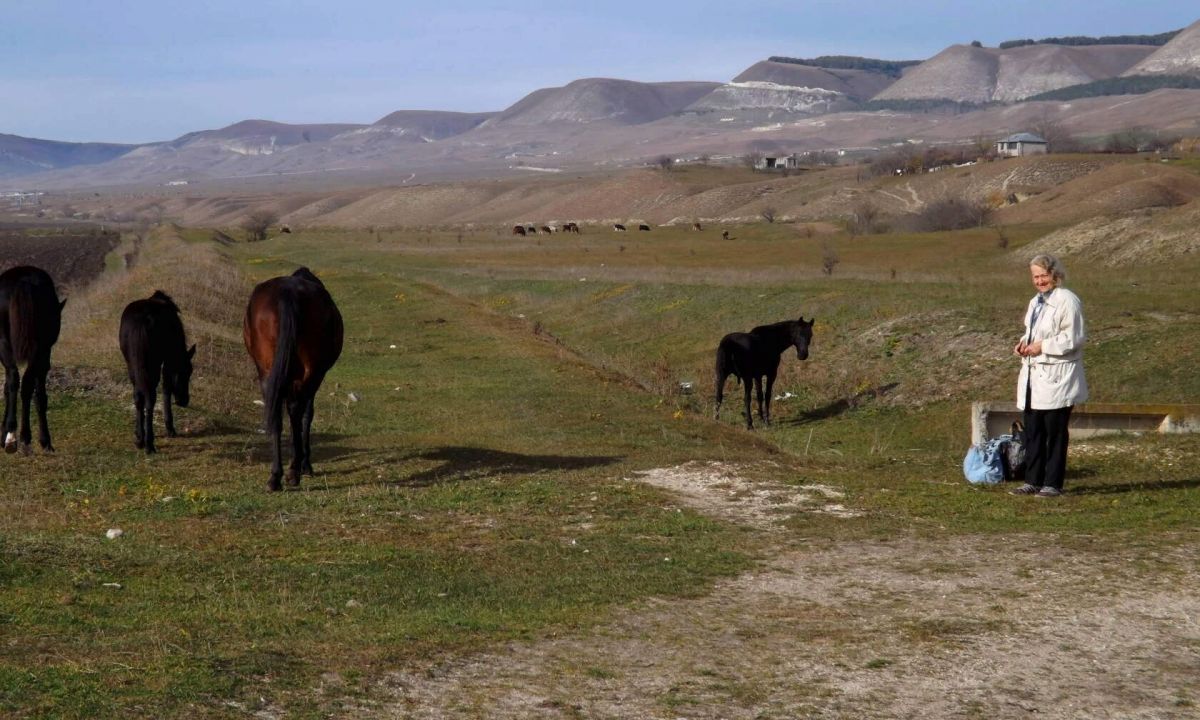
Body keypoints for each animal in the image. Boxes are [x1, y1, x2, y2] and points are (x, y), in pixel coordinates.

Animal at [0, 264, 65, 456]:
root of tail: (23, 281)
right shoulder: (43, 359)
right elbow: (40, 396)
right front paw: (45, 441)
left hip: (5, 344)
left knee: (14, 379)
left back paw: (12, 437)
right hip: (38, 350)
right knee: (25, 384)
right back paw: (23, 438)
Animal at [118, 289, 194, 453]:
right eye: (187, 371)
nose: (184, 401)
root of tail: (142, 321)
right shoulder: (167, 362)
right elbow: (166, 388)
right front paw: (170, 428)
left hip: (133, 367)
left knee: (138, 397)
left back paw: (140, 439)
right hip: (151, 367)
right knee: (150, 399)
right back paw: (149, 444)